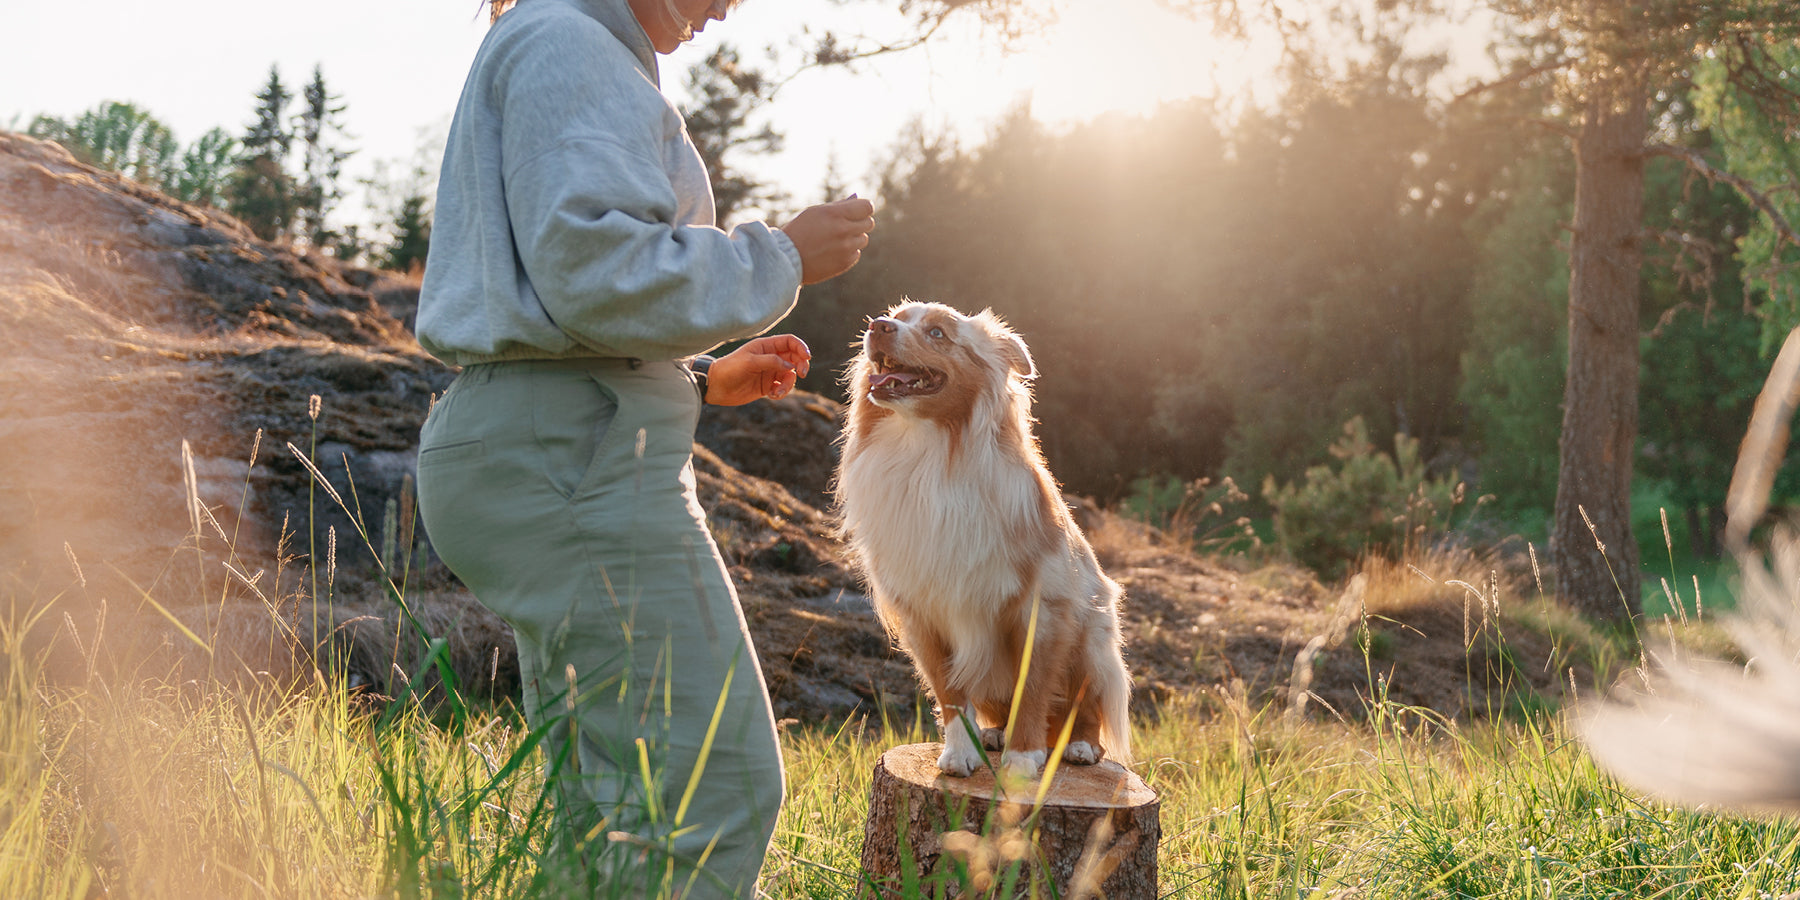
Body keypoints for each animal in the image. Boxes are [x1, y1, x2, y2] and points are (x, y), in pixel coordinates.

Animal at [831, 302, 1123, 781]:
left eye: (937, 333)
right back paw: (995, 734)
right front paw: (960, 752)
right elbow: (950, 692)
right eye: (897, 316)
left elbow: (1032, 687)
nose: (877, 326)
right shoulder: (922, 610)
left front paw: (1023, 758)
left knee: (1088, 700)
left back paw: (1078, 745)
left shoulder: (1042, 606)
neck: (927, 453)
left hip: (1092, 633)